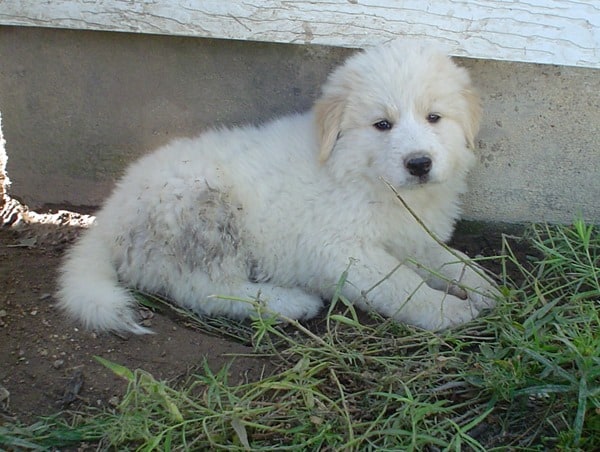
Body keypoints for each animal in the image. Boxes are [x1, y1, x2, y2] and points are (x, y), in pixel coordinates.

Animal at [57, 40, 496, 334]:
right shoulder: (342, 251)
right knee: (206, 290)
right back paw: (291, 302)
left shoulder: (415, 237)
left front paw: (485, 286)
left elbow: (449, 259)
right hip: (204, 212)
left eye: (434, 117)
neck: (360, 172)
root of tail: (109, 215)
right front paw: (445, 309)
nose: (419, 163)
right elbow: (401, 283)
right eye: (382, 125)